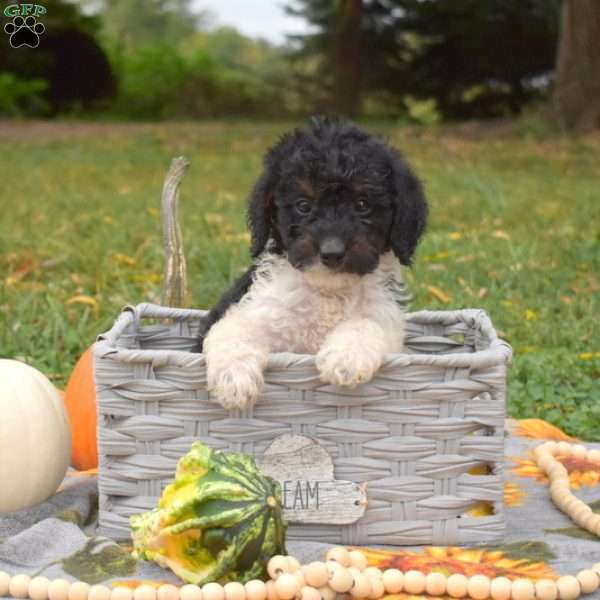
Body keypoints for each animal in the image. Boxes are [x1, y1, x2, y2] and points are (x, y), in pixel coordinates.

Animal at [200, 117, 426, 408]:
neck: (327, 290)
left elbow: (366, 322)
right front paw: (234, 381)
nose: (331, 252)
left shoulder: (387, 320)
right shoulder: (255, 311)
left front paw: (346, 358)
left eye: (362, 204)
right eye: (303, 205)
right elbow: (233, 330)